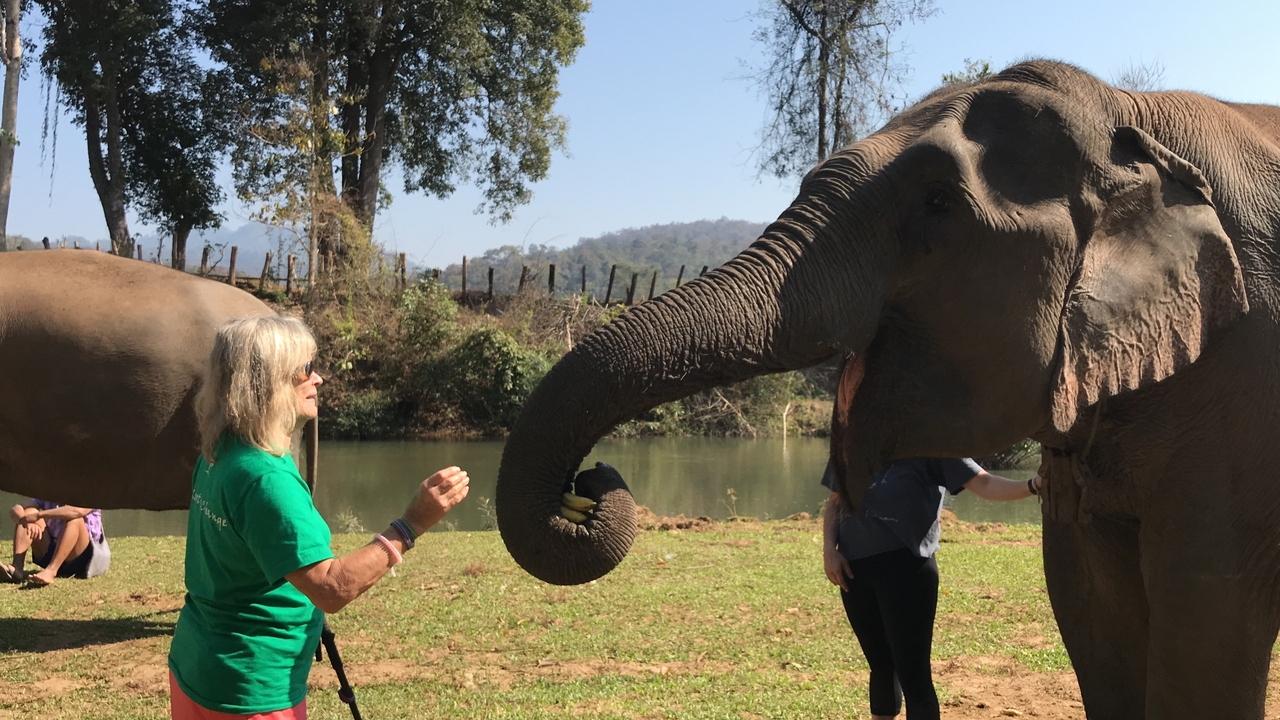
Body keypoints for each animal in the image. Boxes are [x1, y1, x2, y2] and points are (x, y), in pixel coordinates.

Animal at [496, 60, 1280, 718]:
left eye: (936, 202)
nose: (590, 481)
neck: (1130, 113)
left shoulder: (1248, 373)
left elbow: (1206, 601)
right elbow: (1091, 598)